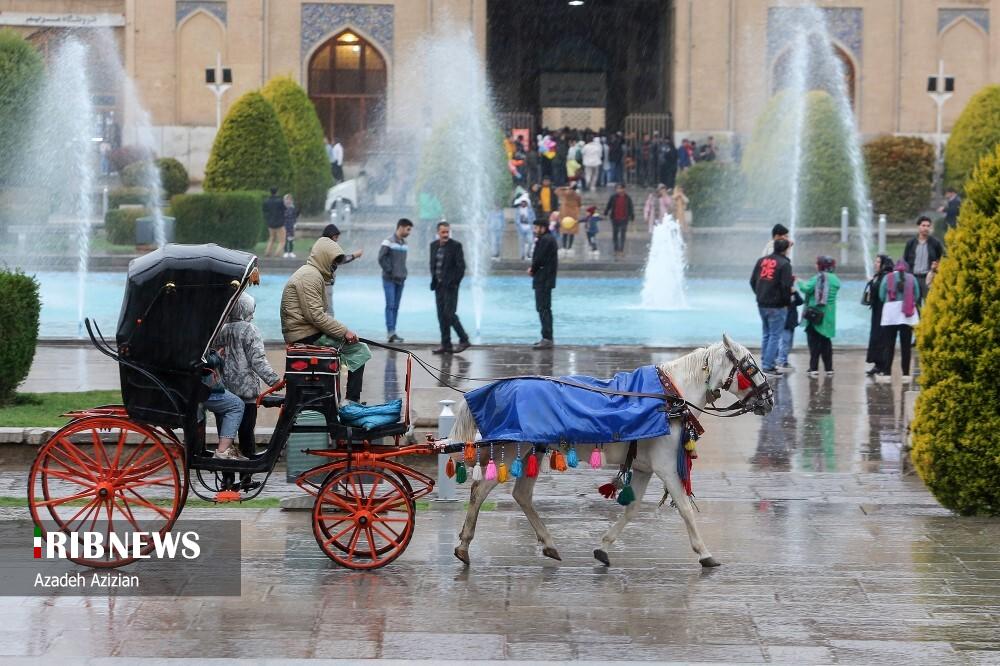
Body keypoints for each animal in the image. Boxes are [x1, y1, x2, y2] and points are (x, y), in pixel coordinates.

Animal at [448, 332, 772, 564]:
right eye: (751, 367)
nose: (769, 399)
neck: (669, 397)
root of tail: (498, 387)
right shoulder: (667, 466)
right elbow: (684, 508)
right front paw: (704, 552)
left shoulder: (644, 467)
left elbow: (631, 509)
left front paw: (603, 547)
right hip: (514, 448)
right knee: (480, 490)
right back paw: (464, 544)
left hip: (532, 451)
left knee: (522, 494)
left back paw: (548, 543)